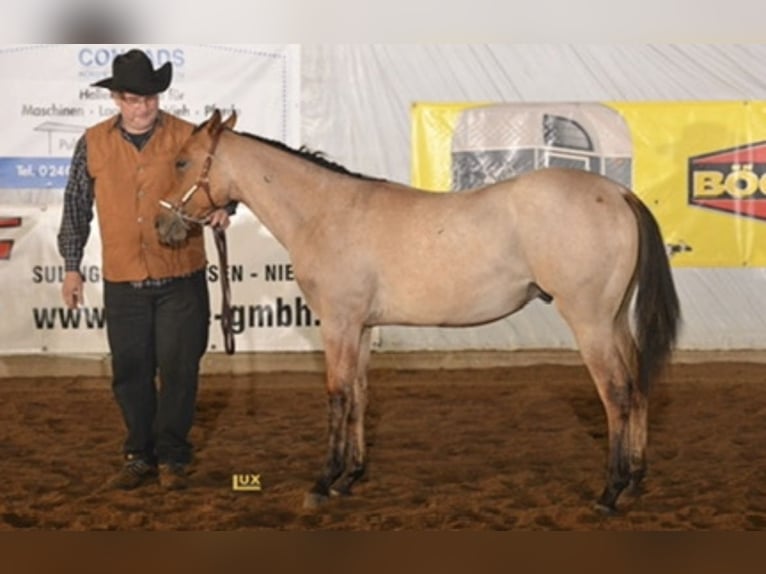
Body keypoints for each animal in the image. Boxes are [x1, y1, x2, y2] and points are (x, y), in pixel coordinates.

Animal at [153, 110, 680, 516]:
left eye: (181, 161)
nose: (160, 224)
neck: (325, 213)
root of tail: (618, 194)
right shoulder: (362, 327)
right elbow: (360, 395)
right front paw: (350, 478)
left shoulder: (338, 323)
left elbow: (337, 396)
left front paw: (322, 483)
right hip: (613, 321)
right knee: (637, 386)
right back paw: (635, 482)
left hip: (590, 322)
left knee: (617, 394)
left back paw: (610, 492)